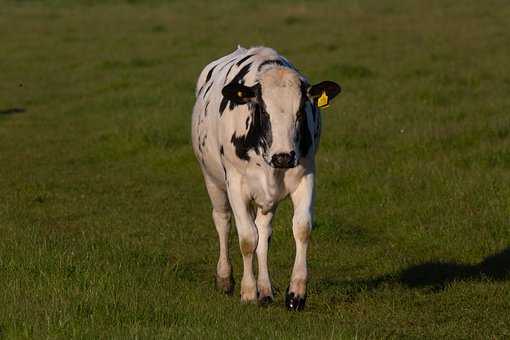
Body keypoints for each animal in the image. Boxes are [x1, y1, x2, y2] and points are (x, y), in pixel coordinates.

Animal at [190, 45, 338, 310]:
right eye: (263, 110)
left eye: (301, 112)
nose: (283, 156)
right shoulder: (236, 184)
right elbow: (247, 238)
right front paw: (248, 292)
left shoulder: (306, 175)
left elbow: (301, 228)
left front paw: (296, 293)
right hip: (212, 180)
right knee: (223, 221)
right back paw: (225, 278)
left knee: (263, 232)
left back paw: (266, 290)